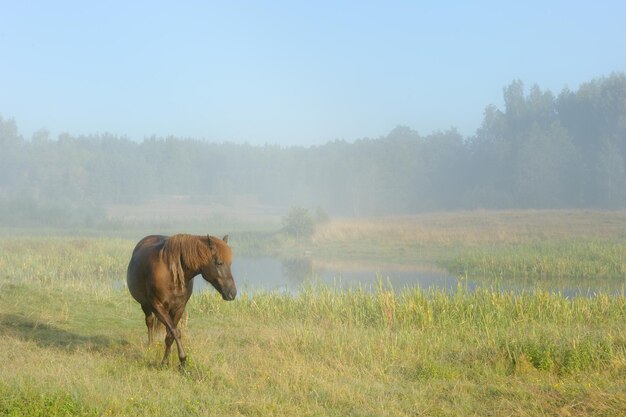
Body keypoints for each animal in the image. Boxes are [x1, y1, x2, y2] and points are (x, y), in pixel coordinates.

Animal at [127, 232, 236, 366]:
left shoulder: (179, 308)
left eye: (230, 263)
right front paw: (182, 359)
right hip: (145, 305)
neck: (171, 275)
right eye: (219, 263)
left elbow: (170, 336)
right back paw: (150, 346)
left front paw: (166, 361)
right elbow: (175, 332)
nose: (232, 293)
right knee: (149, 322)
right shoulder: (158, 307)